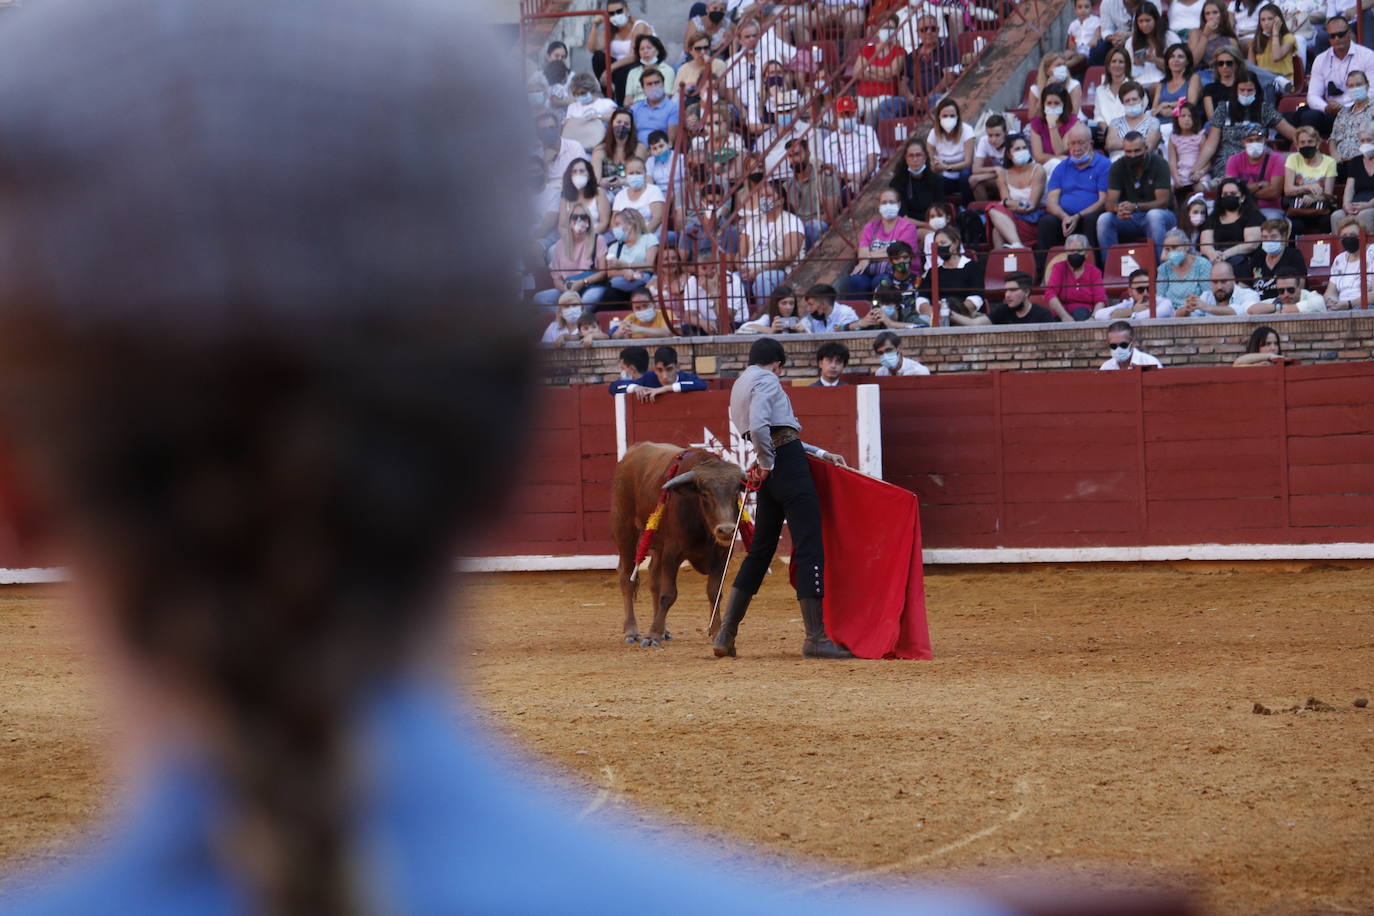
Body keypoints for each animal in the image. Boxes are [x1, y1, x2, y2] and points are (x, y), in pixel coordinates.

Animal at [610, 442, 747, 645]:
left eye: (736, 491)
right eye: (705, 493)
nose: (727, 530)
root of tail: (631, 453)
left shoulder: (723, 555)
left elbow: (714, 592)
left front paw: (716, 632)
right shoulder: (672, 554)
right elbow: (668, 595)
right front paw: (652, 635)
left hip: (657, 543)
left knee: (654, 577)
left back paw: (664, 630)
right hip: (624, 530)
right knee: (627, 576)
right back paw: (632, 631)